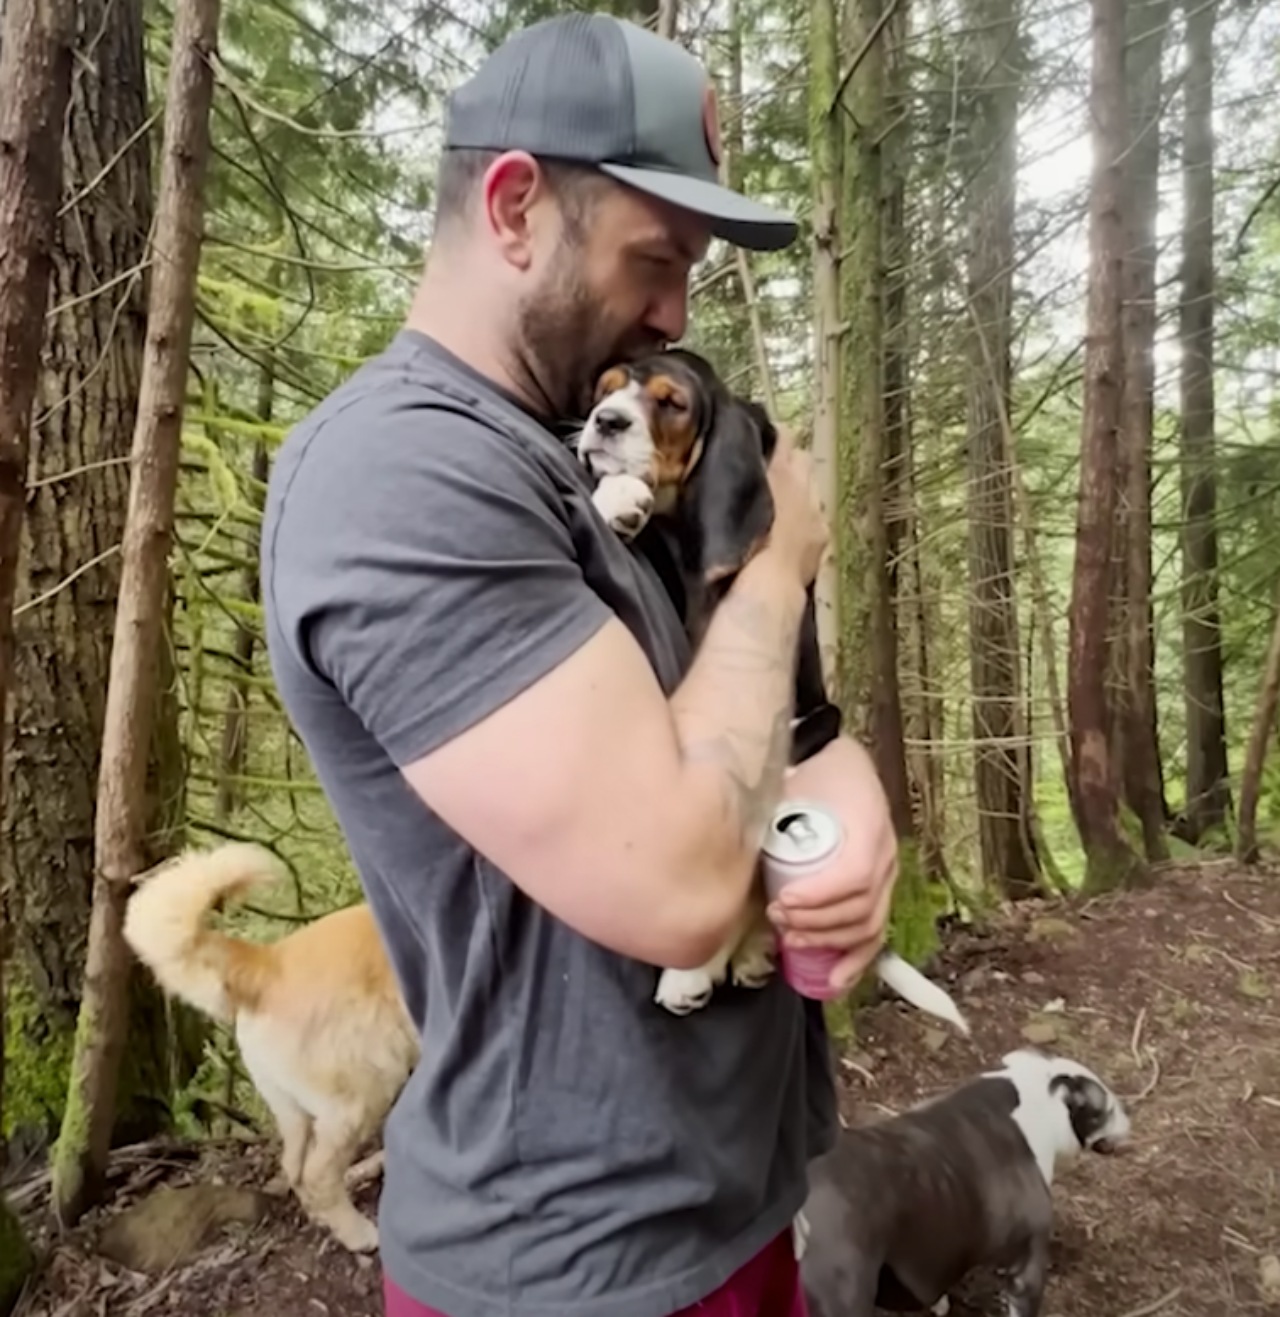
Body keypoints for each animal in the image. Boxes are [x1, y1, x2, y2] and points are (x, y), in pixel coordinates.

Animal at [124, 842, 418, 1253]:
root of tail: (266, 962)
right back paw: (359, 1234)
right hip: (360, 1097)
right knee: (316, 1175)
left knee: (294, 1168)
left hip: (294, 1108)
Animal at [574, 352, 963, 1037]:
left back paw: (700, 969)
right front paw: (617, 496)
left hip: (805, 732)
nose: (606, 422)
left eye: (672, 404)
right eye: (606, 389)